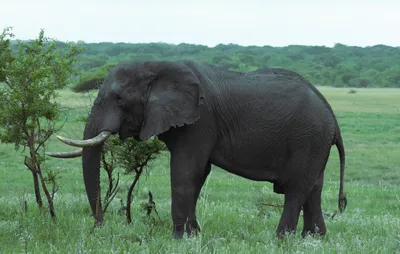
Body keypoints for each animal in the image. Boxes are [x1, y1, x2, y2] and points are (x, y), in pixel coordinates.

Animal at [46, 59, 346, 238]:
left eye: (119, 99)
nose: (99, 227)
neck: (157, 66)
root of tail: (332, 114)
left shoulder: (201, 121)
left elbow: (185, 172)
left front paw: (178, 238)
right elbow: (197, 176)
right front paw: (193, 235)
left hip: (307, 138)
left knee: (296, 188)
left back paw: (281, 238)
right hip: (314, 141)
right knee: (313, 188)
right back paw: (314, 238)